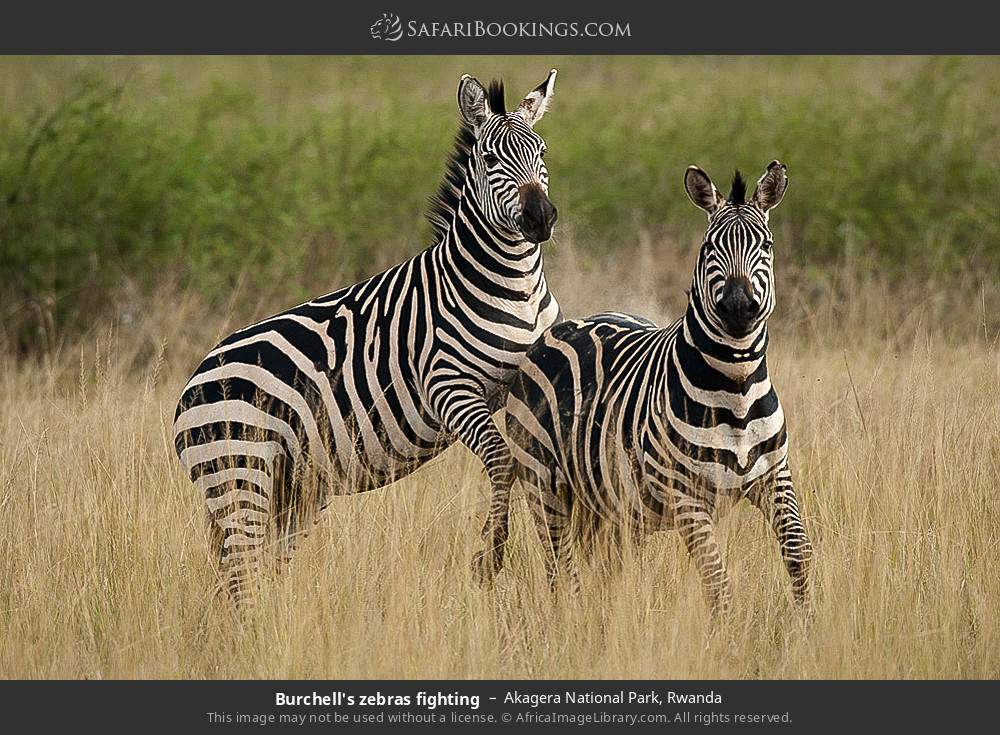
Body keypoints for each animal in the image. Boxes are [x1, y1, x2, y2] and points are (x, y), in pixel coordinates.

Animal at [173, 70, 561, 603]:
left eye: (542, 152)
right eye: (489, 160)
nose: (541, 218)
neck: (512, 285)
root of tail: (193, 383)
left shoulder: (524, 377)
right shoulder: (449, 387)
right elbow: (503, 461)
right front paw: (491, 555)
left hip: (294, 490)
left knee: (258, 572)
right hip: (239, 475)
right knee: (242, 578)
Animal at [504, 161, 812, 613]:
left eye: (767, 245)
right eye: (709, 248)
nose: (739, 307)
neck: (735, 388)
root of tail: (564, 326)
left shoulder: (776, 477)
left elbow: (797, 552)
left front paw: (808, 621)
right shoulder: (686, 497)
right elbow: (718, 583)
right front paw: (731, 631)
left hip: (613, 507)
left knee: (603, 568)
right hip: (544, 481)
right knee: (560, 567)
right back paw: (573, 619)